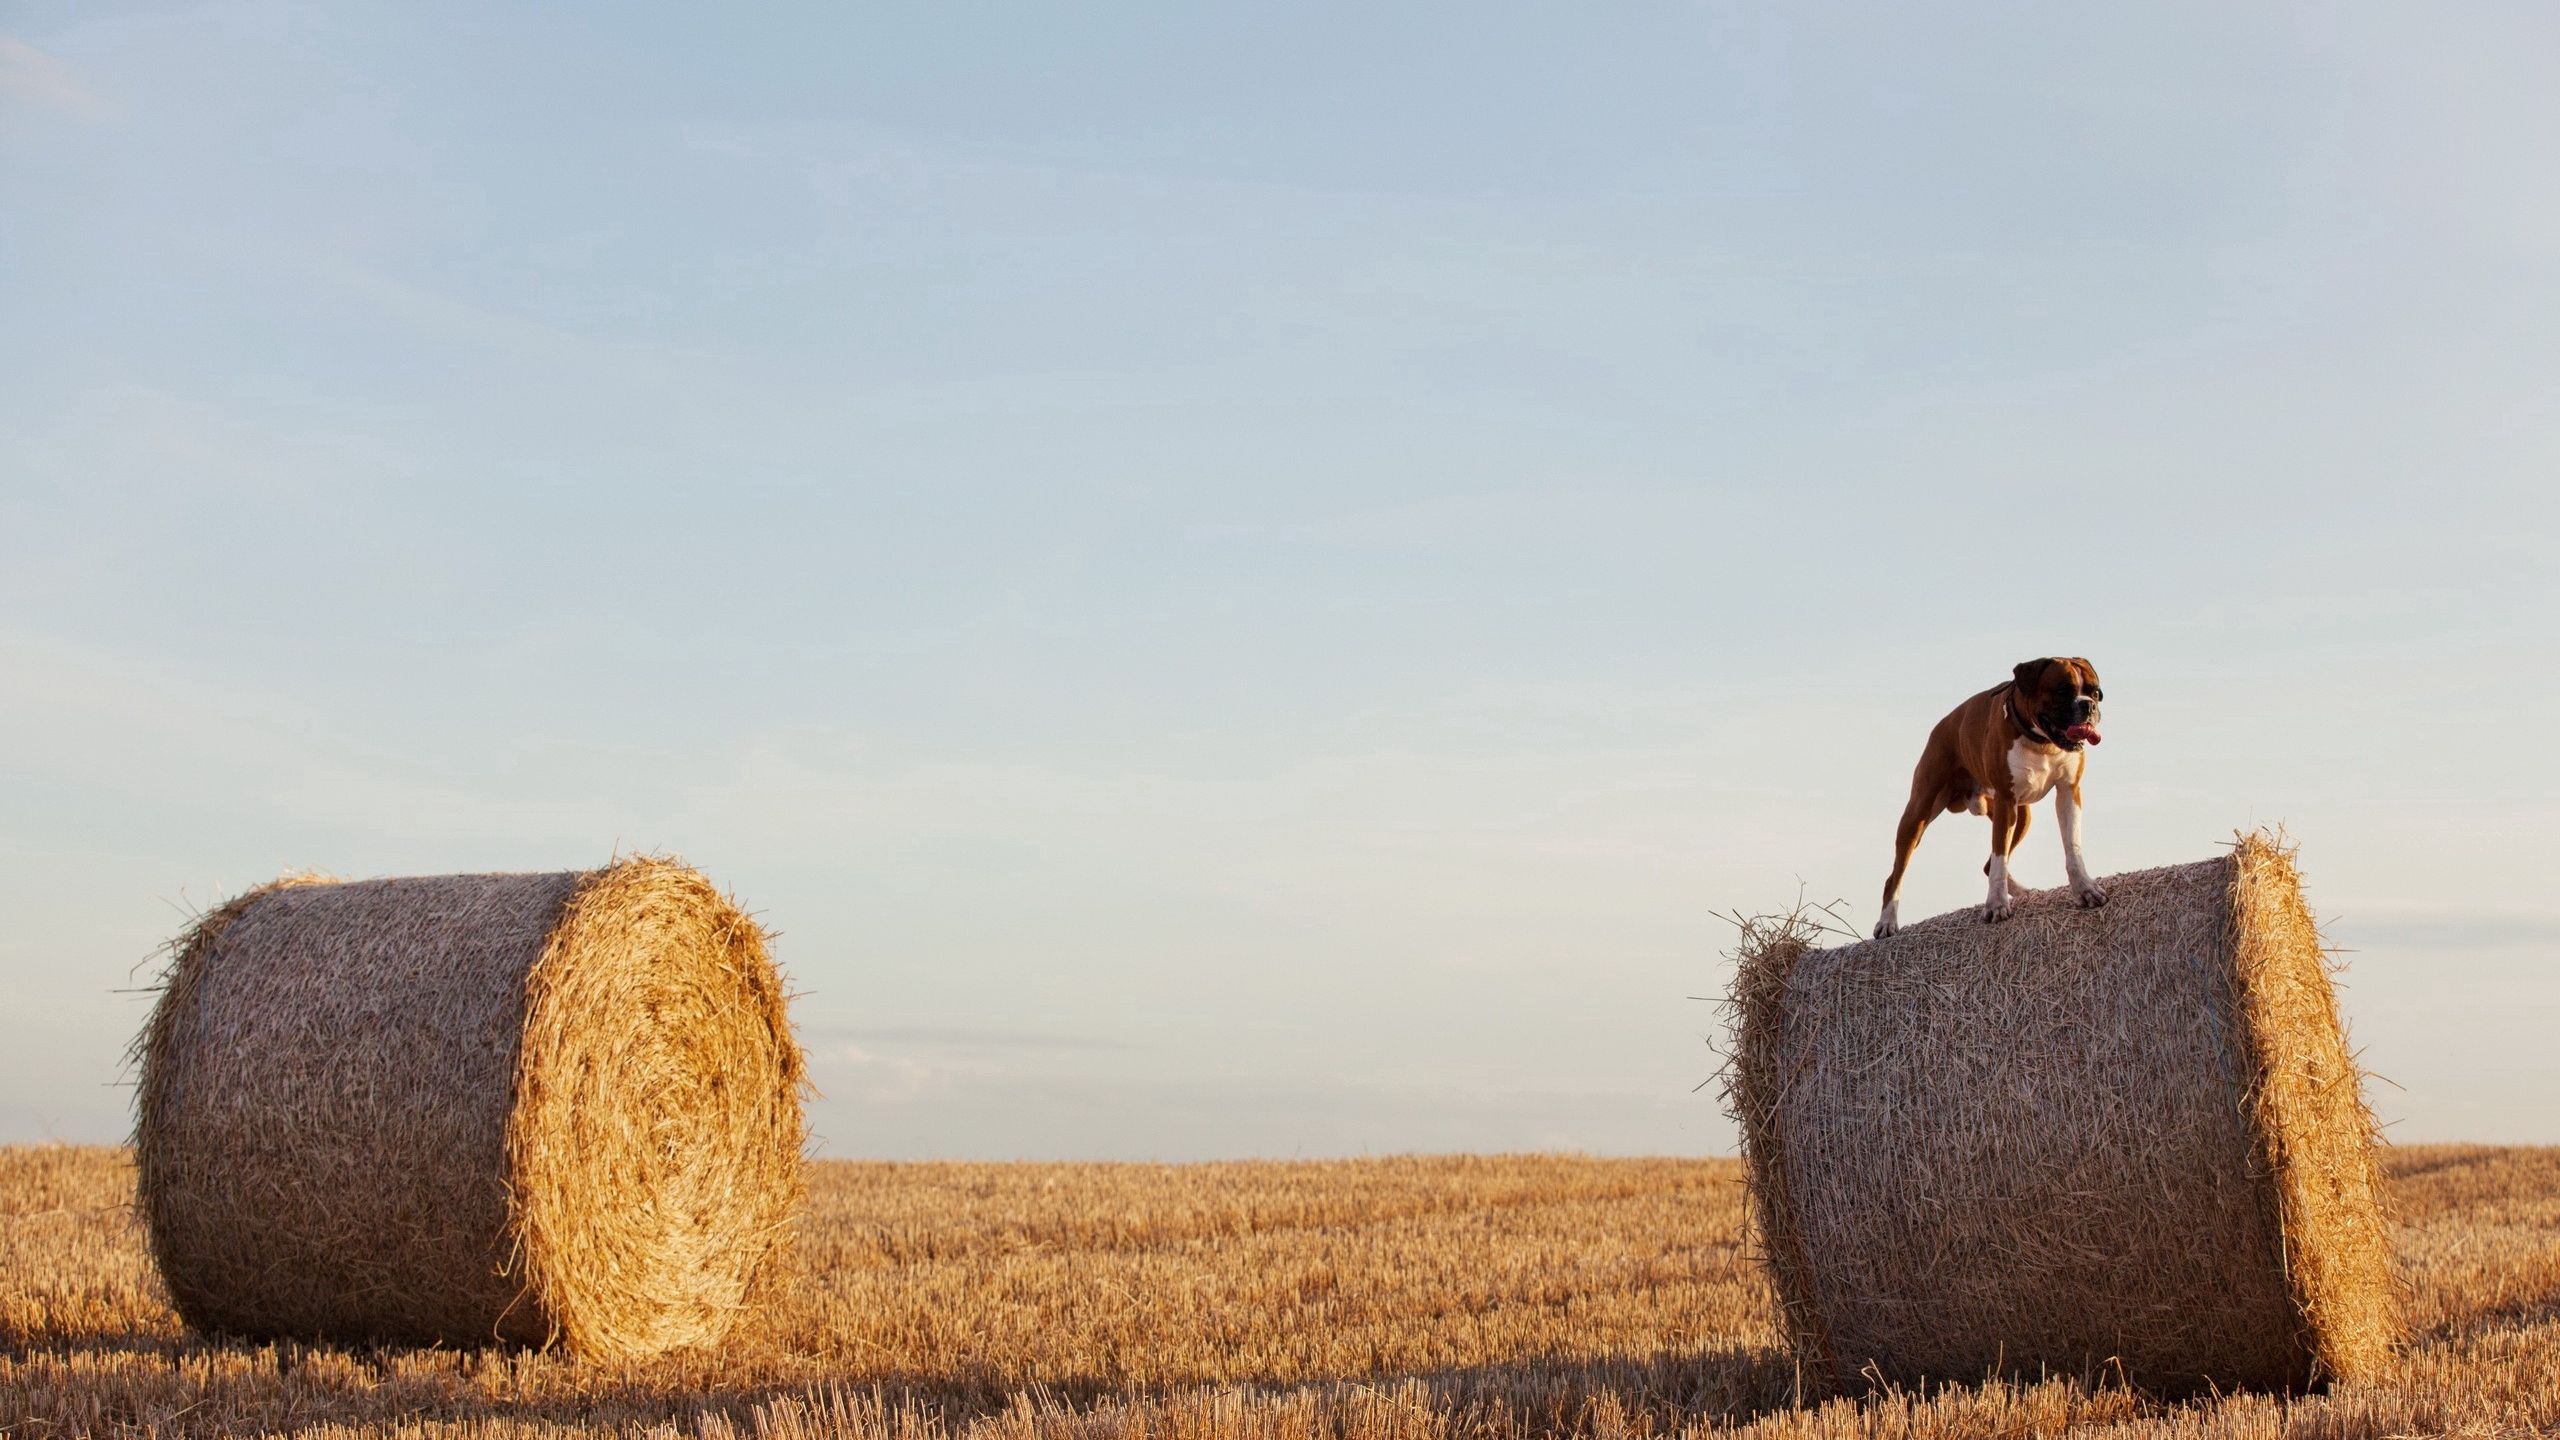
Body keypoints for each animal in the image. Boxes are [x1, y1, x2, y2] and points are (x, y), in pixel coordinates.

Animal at [1873, 655, 2109, 937]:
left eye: (2096, 693)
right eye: (2063, 690)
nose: (2089, 705)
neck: (2041, 743)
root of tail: (1944, 723)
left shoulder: (2068, 792)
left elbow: (2072, 847)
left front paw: (2085, 889)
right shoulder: (2006, 800)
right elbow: (1999, 857)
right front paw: (1996, 905)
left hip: (2020, 817)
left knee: (1991, 863)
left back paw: (2024, 892)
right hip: (1918, 813)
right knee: (1895, 875)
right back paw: (1887, 921)